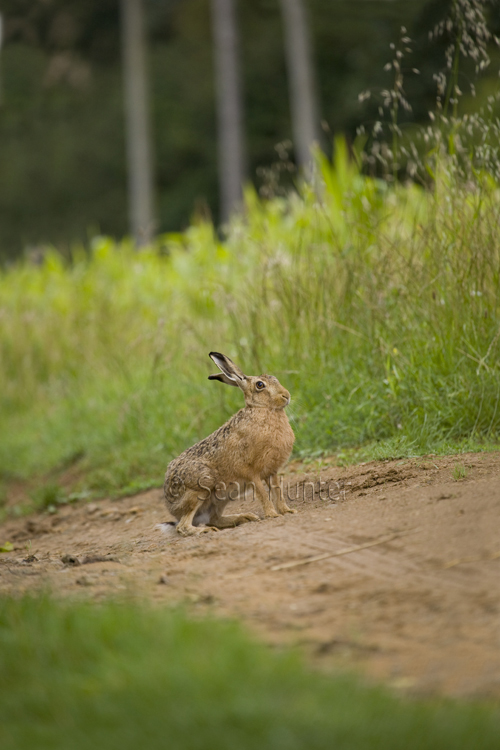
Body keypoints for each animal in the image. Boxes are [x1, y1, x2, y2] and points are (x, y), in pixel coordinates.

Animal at [163, 352, 296, 536]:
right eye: (260, 385)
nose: (287, 396)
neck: (262, 409)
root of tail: (170, 504)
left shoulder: (272, 471)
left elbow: (278, 491)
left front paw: (287, 511)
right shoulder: (251, 472)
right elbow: (263, 493)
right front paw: (272, 514)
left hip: (222, 497)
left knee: (214, 518)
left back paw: (245, 517)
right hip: (200, 486)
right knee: (183, 526)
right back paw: (205, 530)